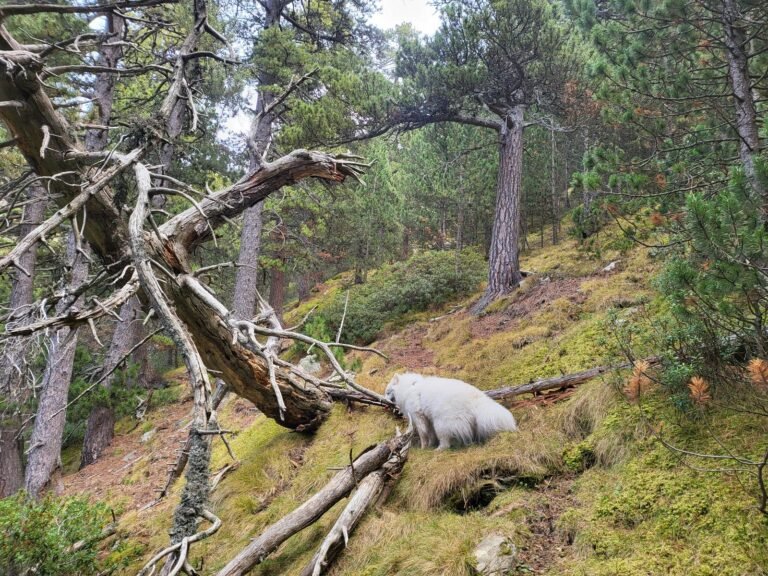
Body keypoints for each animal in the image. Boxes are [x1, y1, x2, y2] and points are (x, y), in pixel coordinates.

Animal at [382, 374, 516, 450]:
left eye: (388, 392)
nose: (383, 399)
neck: (409, 387)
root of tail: (475, 400)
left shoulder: (418, 416)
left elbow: (423, 434)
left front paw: (423, 447)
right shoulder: (427, 418)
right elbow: (430, 434)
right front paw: (430, 444)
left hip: (440, 423)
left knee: (445, 442)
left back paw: (439, 449)